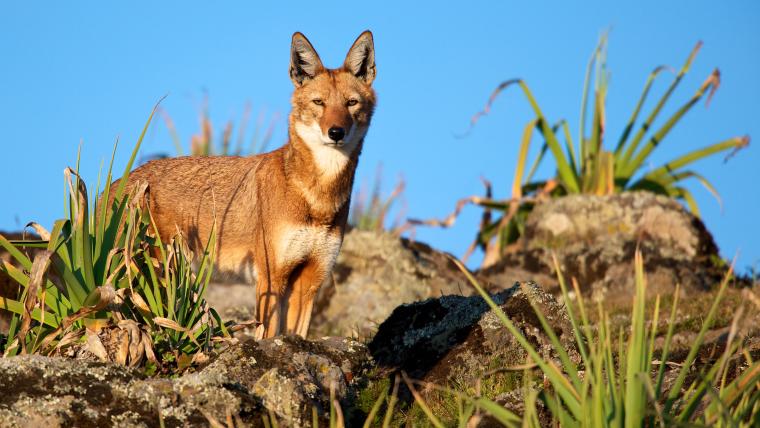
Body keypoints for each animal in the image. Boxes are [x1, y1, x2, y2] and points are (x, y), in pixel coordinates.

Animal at [113, 31, 376, 338]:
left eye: (351, 103)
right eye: (319, 102)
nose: (336, 132)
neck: (317, 200)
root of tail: (111, 188)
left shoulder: (309, 283)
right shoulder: (271, 280)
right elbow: (268, 334)